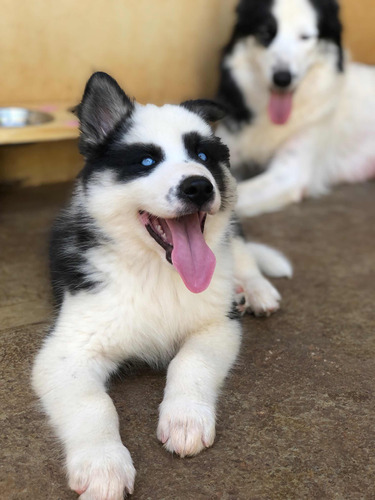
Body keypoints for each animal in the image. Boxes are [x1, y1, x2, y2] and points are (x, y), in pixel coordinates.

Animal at [32, 72, 292, 498]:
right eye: (146, 162)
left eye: (203, 157)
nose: (199, 187)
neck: (157, 272)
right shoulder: (68, 351)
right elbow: (92, 404)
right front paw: (103, 465)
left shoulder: (216, 325)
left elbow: (191, 361)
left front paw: (185, 420)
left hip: (232, 231)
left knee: (241, 251)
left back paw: (254, 290)